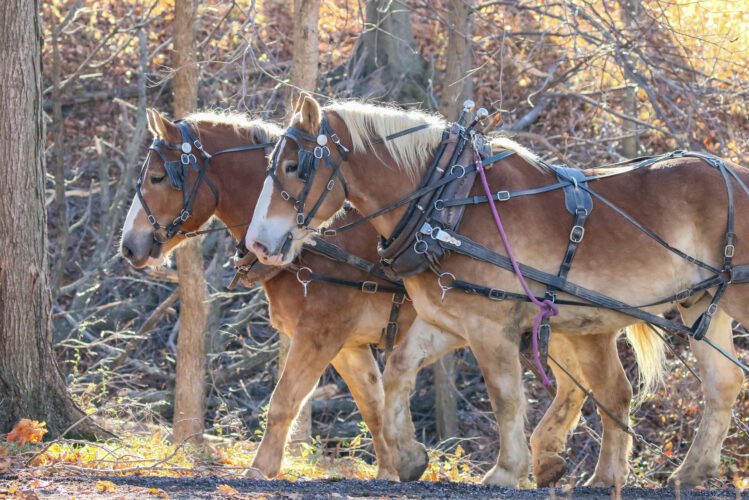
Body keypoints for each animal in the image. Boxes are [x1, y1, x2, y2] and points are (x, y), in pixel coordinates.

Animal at [119, 109, 419, 480]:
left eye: (158, 177)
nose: (128, 246)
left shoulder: (321, 331)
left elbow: (284, 399)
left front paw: (260, 469)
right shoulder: (347, 343)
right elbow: (373, 405)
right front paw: (392, 470)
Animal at [245, 93, 746, 488]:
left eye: (293, 167)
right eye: (268, 165)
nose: (257, 244)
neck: (447, 203)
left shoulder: (490, 324)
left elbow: (505, 396)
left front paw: (506, 471)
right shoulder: (448, 319)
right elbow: (397, 373)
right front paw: (408, 458)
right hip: (700, 304)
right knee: (720, 382)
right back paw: (686, 472)